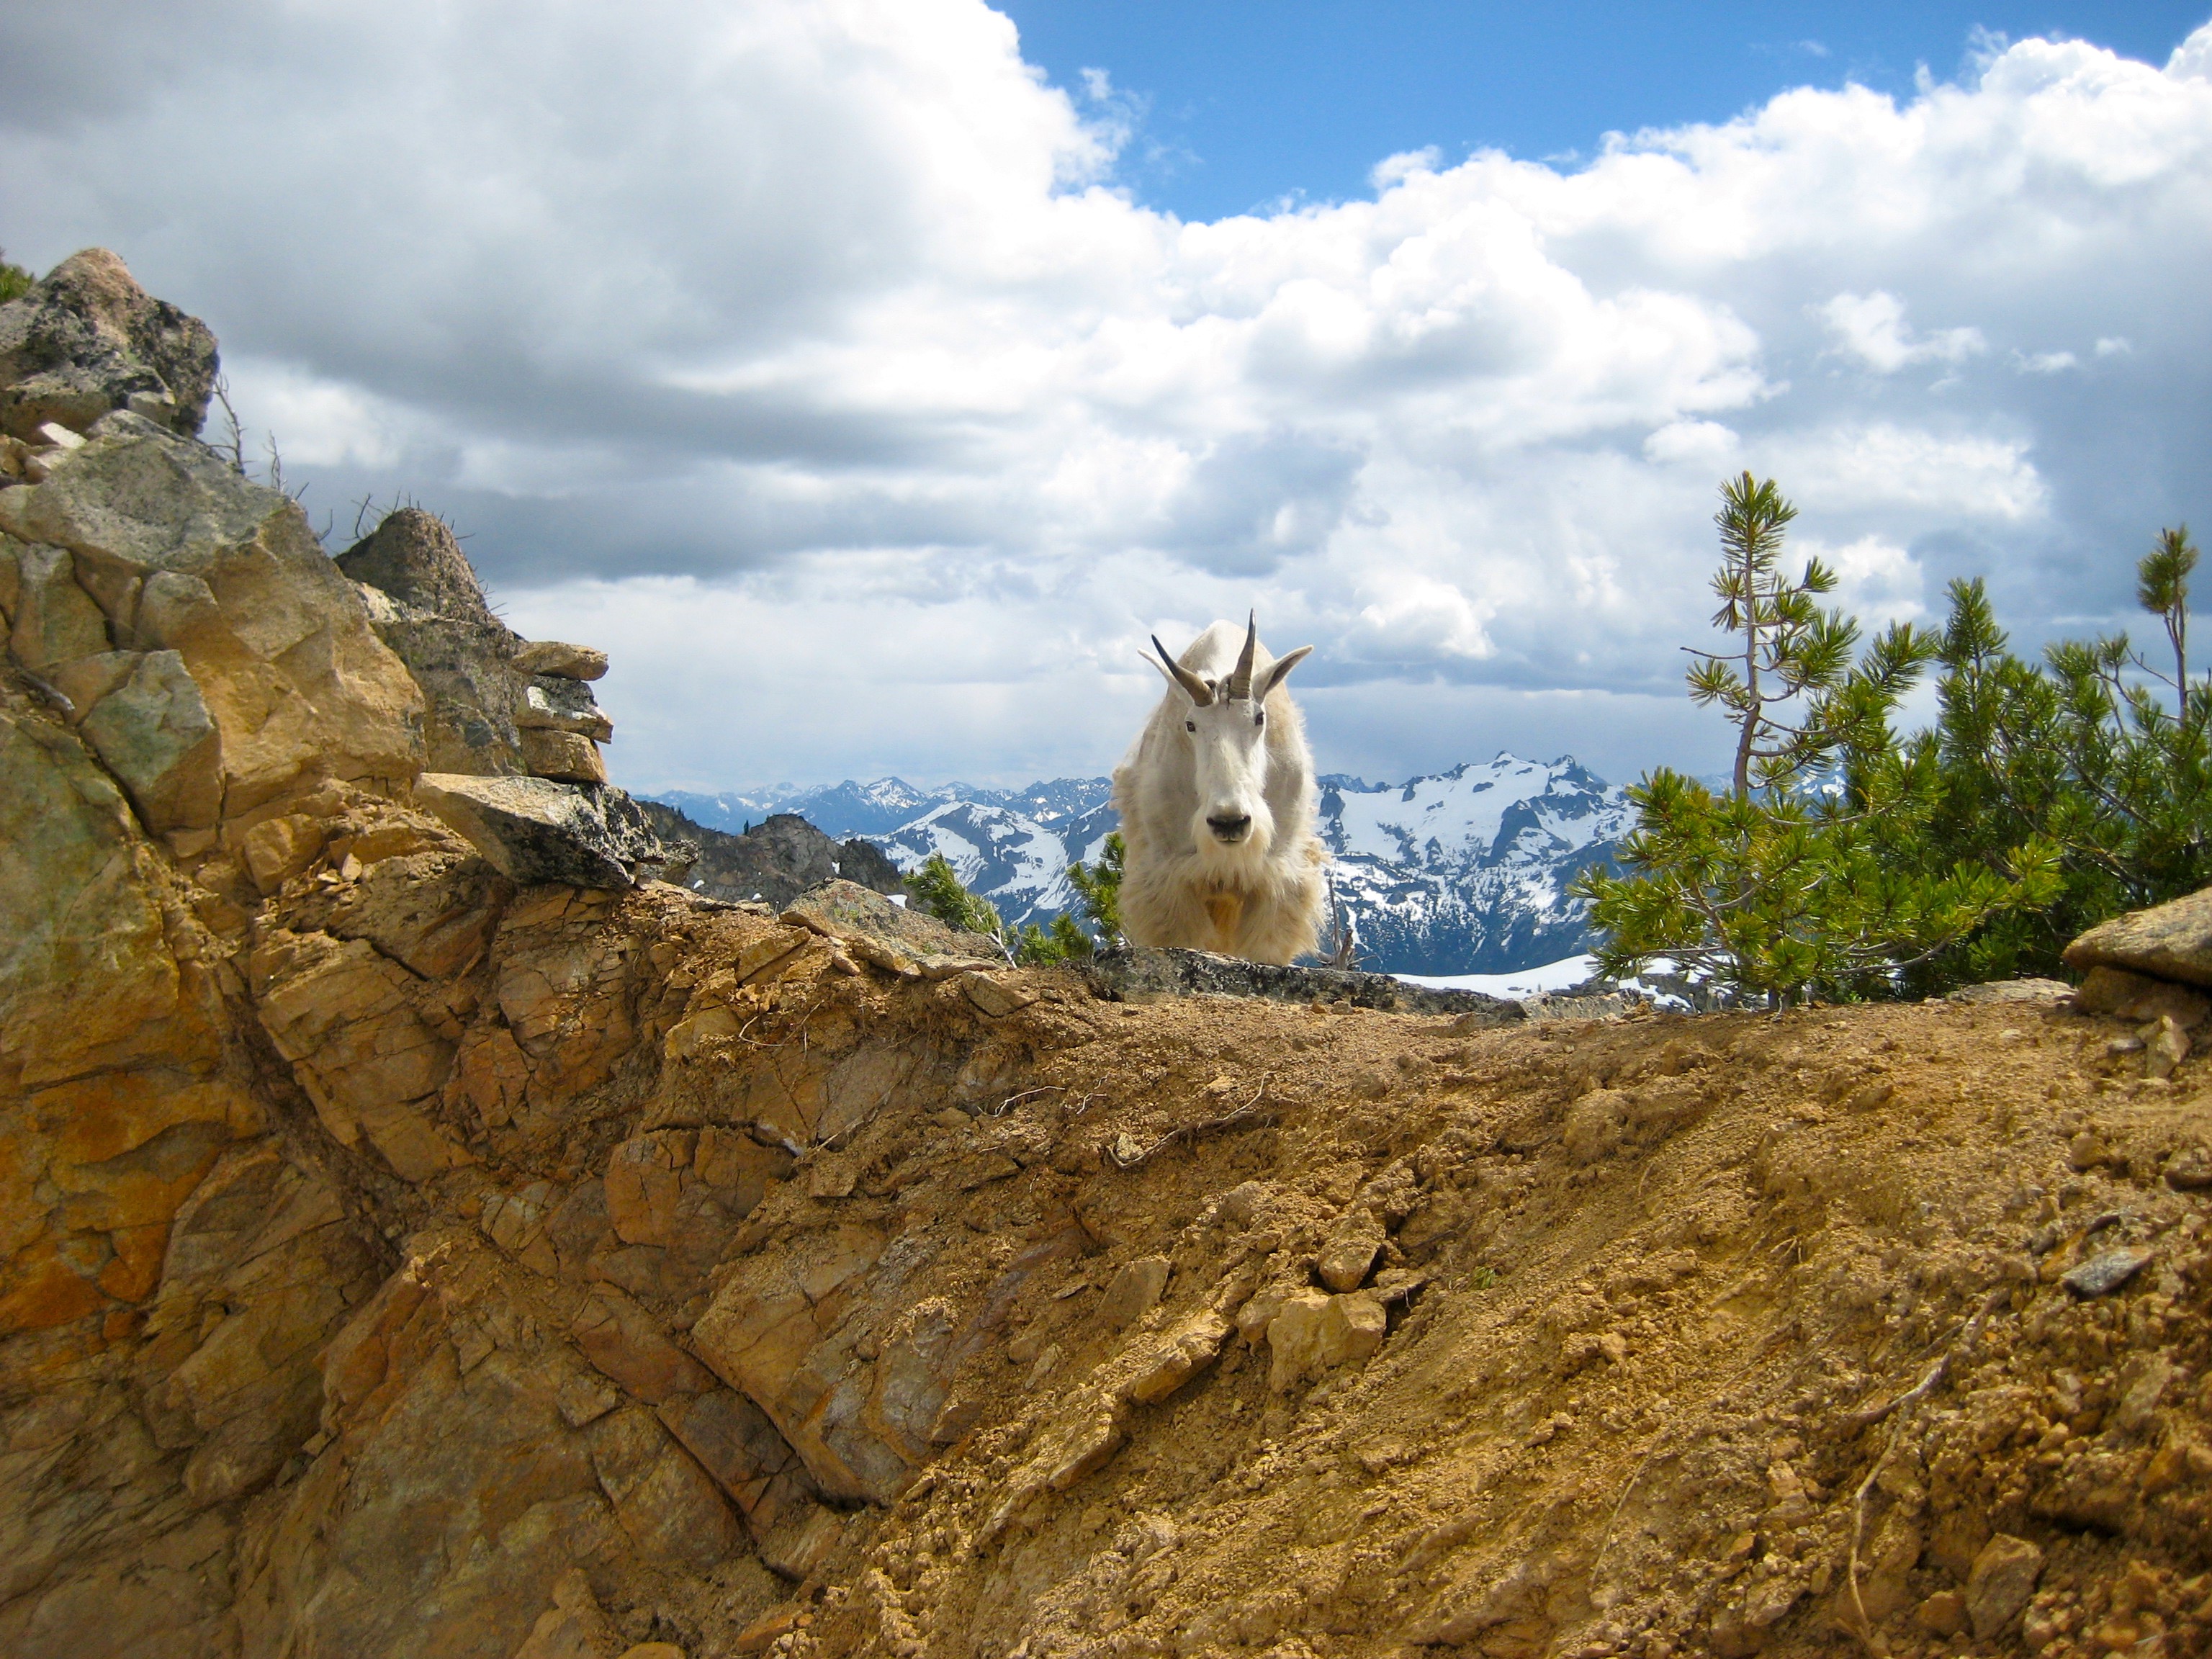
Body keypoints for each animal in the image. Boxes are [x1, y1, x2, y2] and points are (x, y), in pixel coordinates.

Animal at [1111, 615, 1326, 965]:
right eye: (1190, 725)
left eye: (1259, 717)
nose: (1229, 822)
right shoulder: (1173, 875)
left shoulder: (1274, 876)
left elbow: (1265, 947)